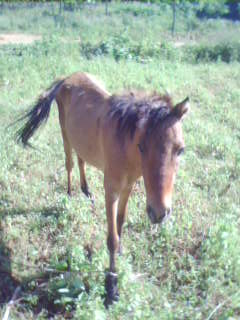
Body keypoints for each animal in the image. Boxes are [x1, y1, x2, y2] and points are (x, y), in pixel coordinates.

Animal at [16, 71, 189, 306]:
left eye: (181, 150)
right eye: (142, 147)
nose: (159, 213)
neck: (126, 148)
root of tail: (67, 78)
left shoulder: (128, 186)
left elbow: (120, 221)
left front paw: (122, 253)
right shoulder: (112, 190)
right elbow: (111, 239)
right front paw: (112, 287)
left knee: (81, 159)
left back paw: (86, 190)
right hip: (64, 131)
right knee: (69, 162)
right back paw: (70, 195)